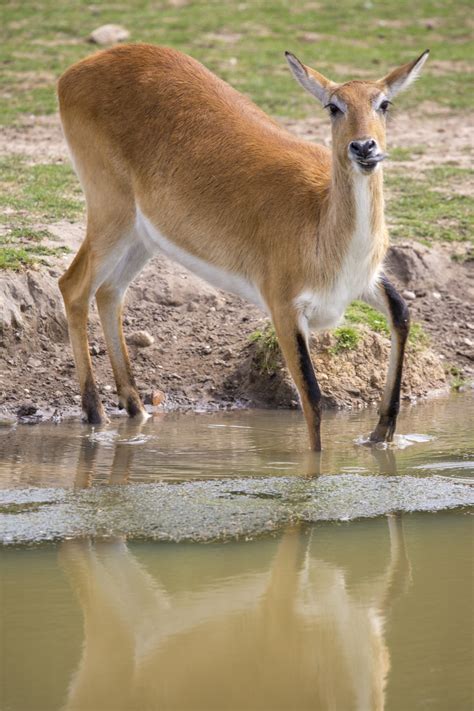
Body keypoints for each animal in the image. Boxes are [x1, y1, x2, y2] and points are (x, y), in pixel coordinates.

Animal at [56, 43, 430, 450]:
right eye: (334, 106)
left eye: (384, 103)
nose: (364, 146)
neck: (320, 217)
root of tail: (77, 70)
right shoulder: (284, 308)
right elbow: (313, 399)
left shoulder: (362, 283)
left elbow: (401, 312)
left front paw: (380, 434)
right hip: (111, 214)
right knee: (73, 286)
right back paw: (95, 414)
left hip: (143, 236)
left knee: (109, 292)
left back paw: (136, 408)